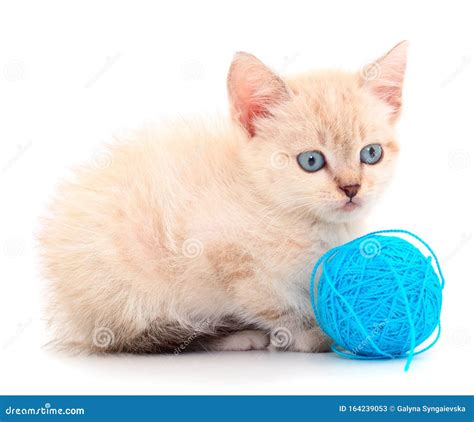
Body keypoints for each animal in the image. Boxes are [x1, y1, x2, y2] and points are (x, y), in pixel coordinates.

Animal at [38, 42, 408, 352]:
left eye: (371, 153)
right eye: (311, 161)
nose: (351, 188)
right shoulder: (225, 255)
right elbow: (280, 306)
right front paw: (318, 335)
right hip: (122, 287)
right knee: (147, 336)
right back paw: (236, 336)